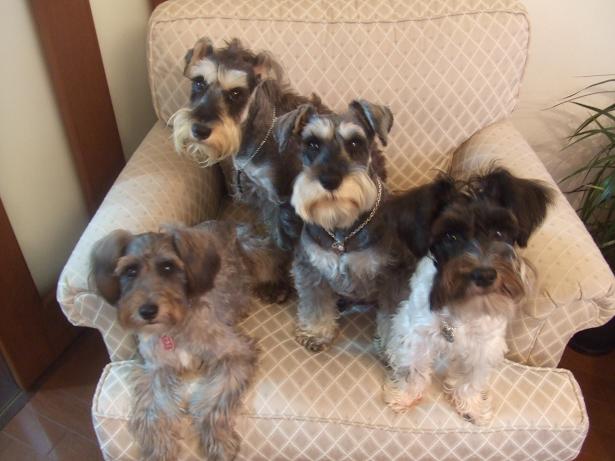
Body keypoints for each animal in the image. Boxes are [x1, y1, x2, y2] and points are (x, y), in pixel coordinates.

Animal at [91, 221, 284, 460]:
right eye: (131, 270)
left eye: (168, 267)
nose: (147, 311)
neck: (174, 329)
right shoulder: (155, 368)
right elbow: (155, 408)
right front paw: (160, 448)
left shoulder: (235, 353)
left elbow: (214, 400)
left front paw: (218, 441)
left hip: (254, 250)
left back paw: (275, 289)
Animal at [172, 37, 329, 252]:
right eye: (198, 82)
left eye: (236, 93)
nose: (199, 130)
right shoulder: (259, 188)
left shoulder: (284, 199)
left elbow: (284, 236)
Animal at [274, 100, 415, 352]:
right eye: (312, 144)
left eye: (355, 142)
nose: (330, 180)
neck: (342, 231)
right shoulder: (310, 267)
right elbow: (315, 302)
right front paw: (316, 332)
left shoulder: (394, 275)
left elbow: (392, 315)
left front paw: (390, 348)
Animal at [379, 168, 553, 425]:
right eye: (450, 236)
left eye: (499, 232)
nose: (485, 275)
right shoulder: (417, 333)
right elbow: (413, 367)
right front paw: (405, 397)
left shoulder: (485, 343)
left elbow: (472, 376)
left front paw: (471, 406)